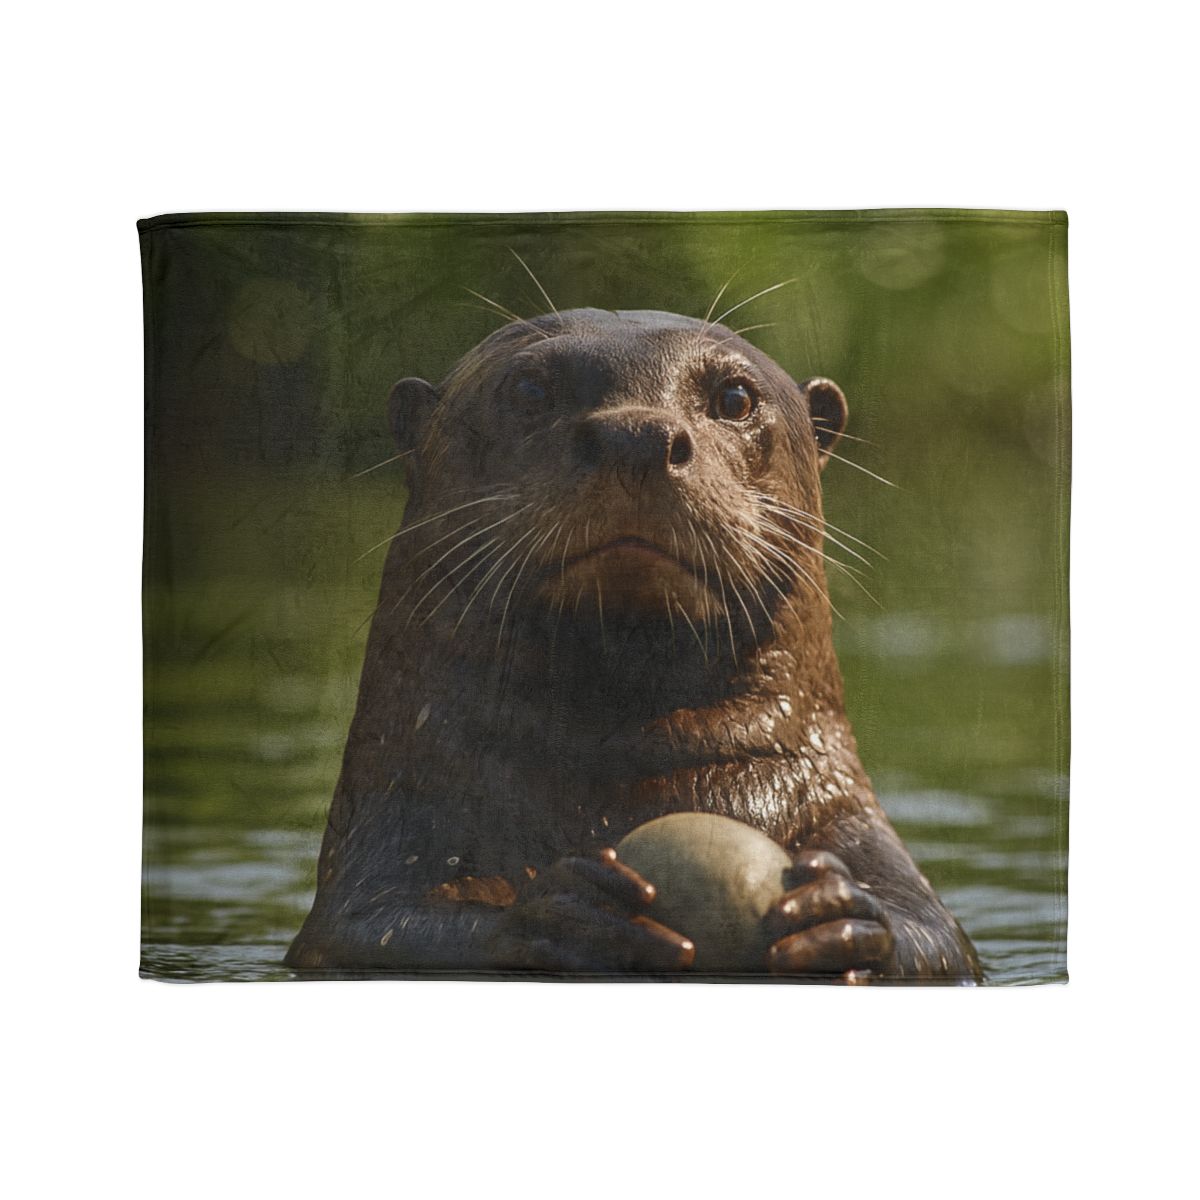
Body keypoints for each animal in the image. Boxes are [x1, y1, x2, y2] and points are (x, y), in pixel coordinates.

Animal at [287, 307, 981, 982]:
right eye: (529, 388)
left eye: (734, 397)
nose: (638, 436)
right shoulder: (390, 837)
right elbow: (376, 928)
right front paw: (570, 912)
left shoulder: (851, 824)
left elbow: (934, 935)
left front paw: (833, 912)